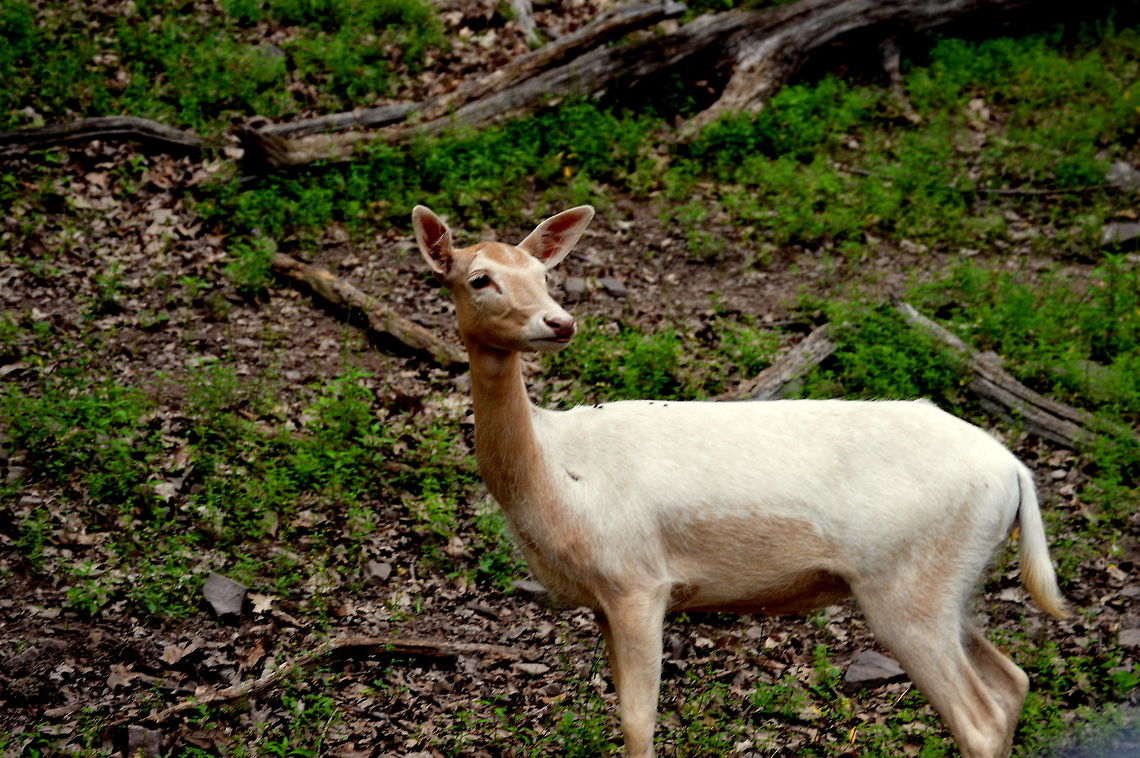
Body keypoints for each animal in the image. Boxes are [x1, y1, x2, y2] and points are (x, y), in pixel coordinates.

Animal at [411, 203, 1068, 758]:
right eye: (479, 278)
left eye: (544, 274)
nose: (559, 321)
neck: (558, 479)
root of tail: (1014, 471)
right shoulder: (605, 596)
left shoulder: (637, 578)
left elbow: (637, 722)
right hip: (950, 581)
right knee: (1012, 681)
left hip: (908, 583)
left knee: (979, 717)